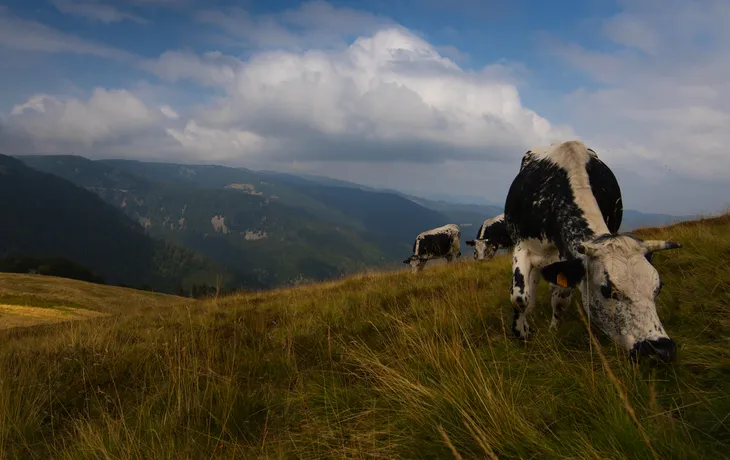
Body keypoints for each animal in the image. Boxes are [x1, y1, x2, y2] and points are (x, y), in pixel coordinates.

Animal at [503, 140, 682, 363]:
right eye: (608, 290)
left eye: (659, 288)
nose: (661, 349)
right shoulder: (523, 246)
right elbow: (519, 297)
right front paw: (522, 332)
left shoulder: (569, 261)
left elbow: (560, 301)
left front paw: (553, 331)